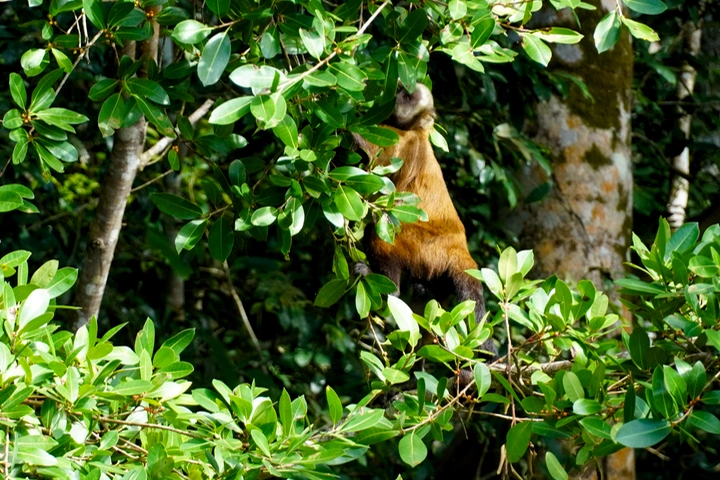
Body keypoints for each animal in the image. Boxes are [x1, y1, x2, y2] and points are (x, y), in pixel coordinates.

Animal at [353, 82, 497, 358]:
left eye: (408, 97)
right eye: (400, 89)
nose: (397, 96)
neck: (417, 130)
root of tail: (460, 248)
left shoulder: (403, 141)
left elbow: (361, 143)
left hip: (425, 246)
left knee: (382, 229)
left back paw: (390, 286)